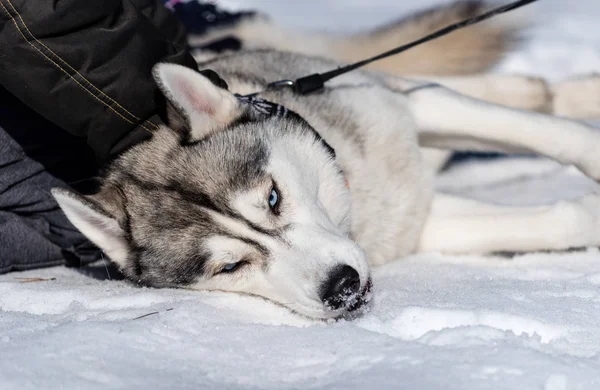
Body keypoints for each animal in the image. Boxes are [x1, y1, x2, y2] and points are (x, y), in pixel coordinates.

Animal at [50, 1, 600, 318]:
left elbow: (551, 134)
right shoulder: (419, 223)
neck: (355, 186)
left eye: (272, 198)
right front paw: (587, 215)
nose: (342, 287)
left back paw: (550, 88)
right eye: (230, 267)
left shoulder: (409, 104)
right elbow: (547, 222)